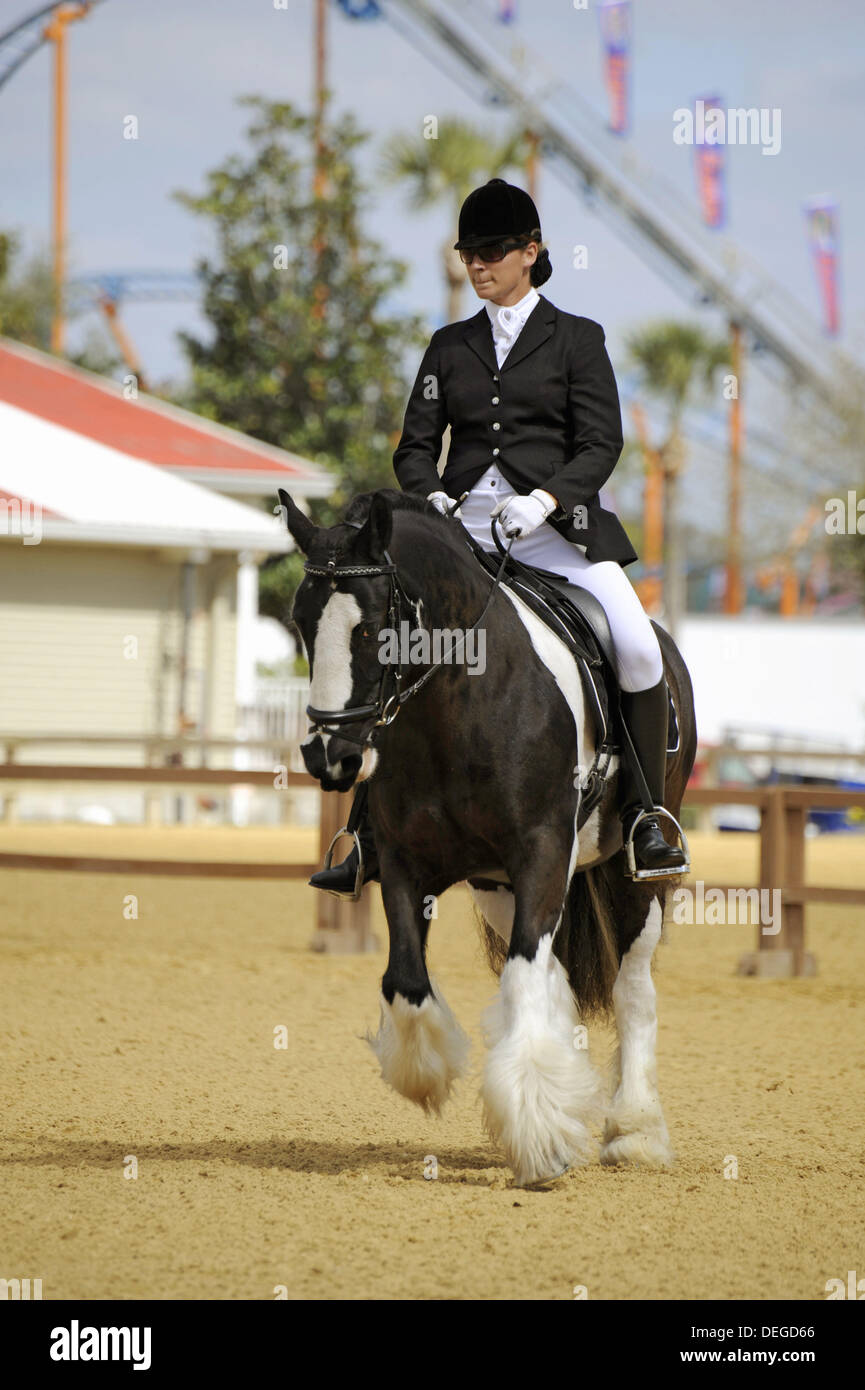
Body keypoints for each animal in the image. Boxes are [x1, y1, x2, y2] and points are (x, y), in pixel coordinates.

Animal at [279, 485, 697, 1187]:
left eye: (372, 627)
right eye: (302, 622)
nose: (329, 756)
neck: (456, 703)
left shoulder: (542, 853)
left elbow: (525, 977)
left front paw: (539, 1138)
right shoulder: (405, 864)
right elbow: (406, 981)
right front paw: (433, 1077)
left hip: (629, 873)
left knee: (632, 988)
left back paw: (634, 1130)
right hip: (493, 886)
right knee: (555, 974)